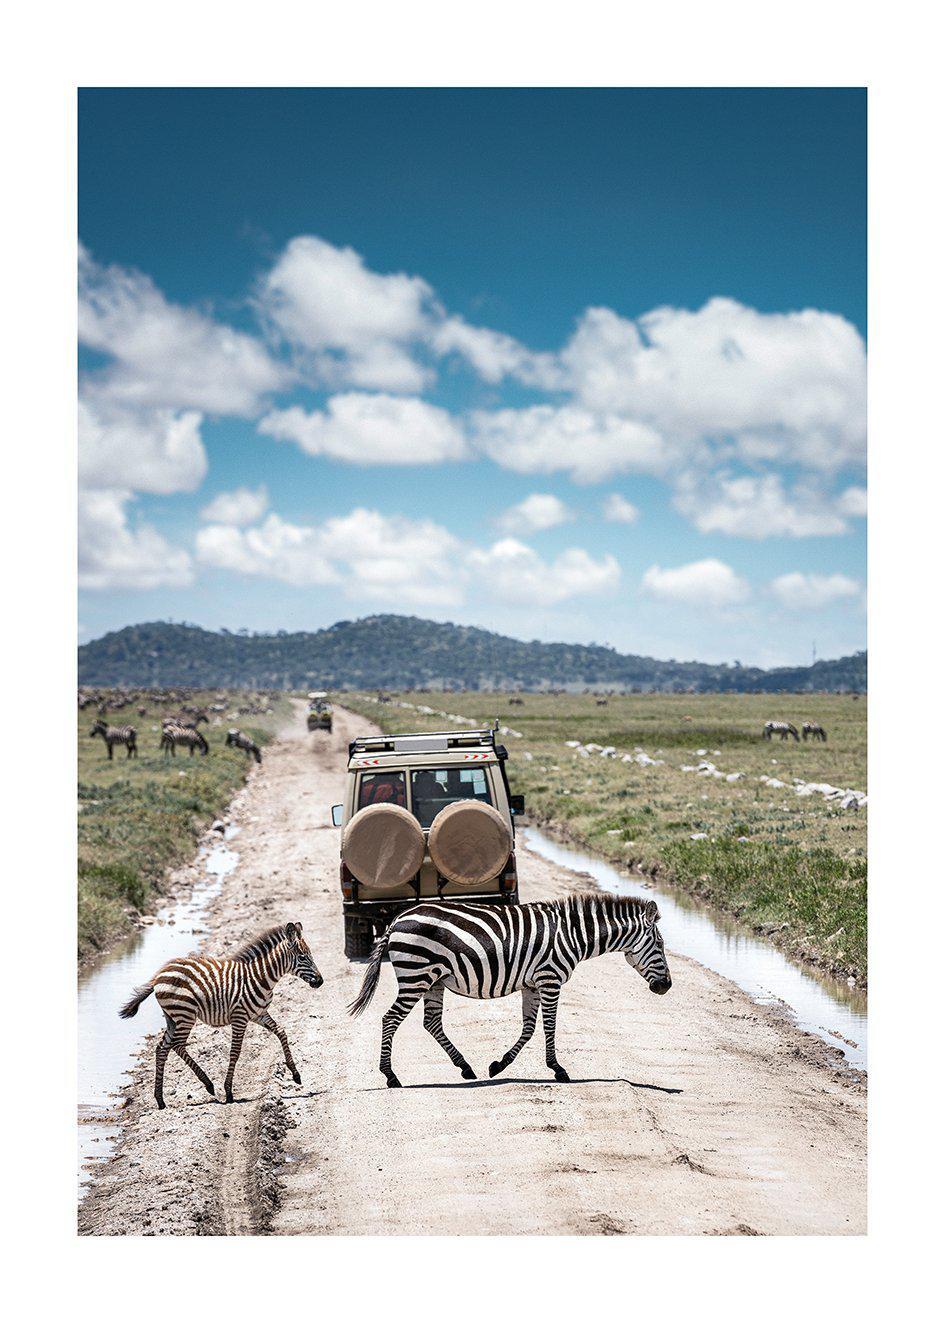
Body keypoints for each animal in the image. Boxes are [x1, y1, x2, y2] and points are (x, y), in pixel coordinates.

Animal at [117, 926, 324, 1111]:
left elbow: (281, 1032)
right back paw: (208, 1085)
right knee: (177, 1045)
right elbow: (235, 1052)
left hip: (173, 1018)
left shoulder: (259, 1014)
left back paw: (160, 1100)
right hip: (185, 1014)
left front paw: (295, 1074)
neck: (261, 978)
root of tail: (159, 975)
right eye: (303, 957)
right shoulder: (240, 1017)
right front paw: (229, 1092)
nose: (320, 981)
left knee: (162, 1048)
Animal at [346, 894, 669, 1090]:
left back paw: (466, 1068)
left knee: (431, 1022)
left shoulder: (532, 983)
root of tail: (397, 920)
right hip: (416, 976)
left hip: (433, 980)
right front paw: (558, 1070)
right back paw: (391, 1076)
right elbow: (549, 1026)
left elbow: (528, 1028)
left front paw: (498, 1065)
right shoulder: (550, 978)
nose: (666, 986)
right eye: (660, 945)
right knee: (390, 1019)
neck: (573, 935)